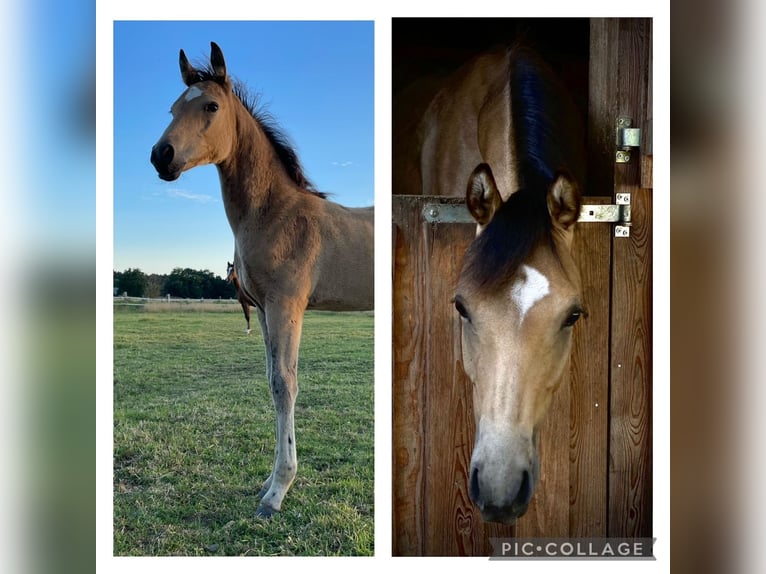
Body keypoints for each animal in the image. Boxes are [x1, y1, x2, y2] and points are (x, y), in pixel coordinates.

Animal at [149, 40, 376, 516]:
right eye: (173, 108)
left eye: (211, 106)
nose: (161, 155)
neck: (276, 214)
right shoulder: (265, 311)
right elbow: (272, 381)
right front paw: (269, 483)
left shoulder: (286, 305)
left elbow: (285, 385)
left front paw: (277, 492)